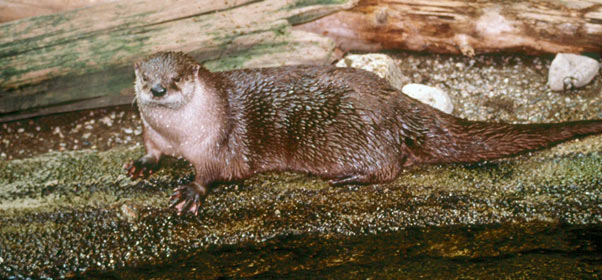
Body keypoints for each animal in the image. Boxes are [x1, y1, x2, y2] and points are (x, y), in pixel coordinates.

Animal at [124, 52, 596, 214]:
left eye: (177, 79)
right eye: (146, 77)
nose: (158, 89)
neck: (180, 137)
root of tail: (394, 101)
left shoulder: (219, 143)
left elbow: (215, 171)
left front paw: (192, 190)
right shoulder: (153, 133)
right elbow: (150, 149)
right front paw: (141, 164)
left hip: (355, 135)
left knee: (390, 167)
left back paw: (350, 179)